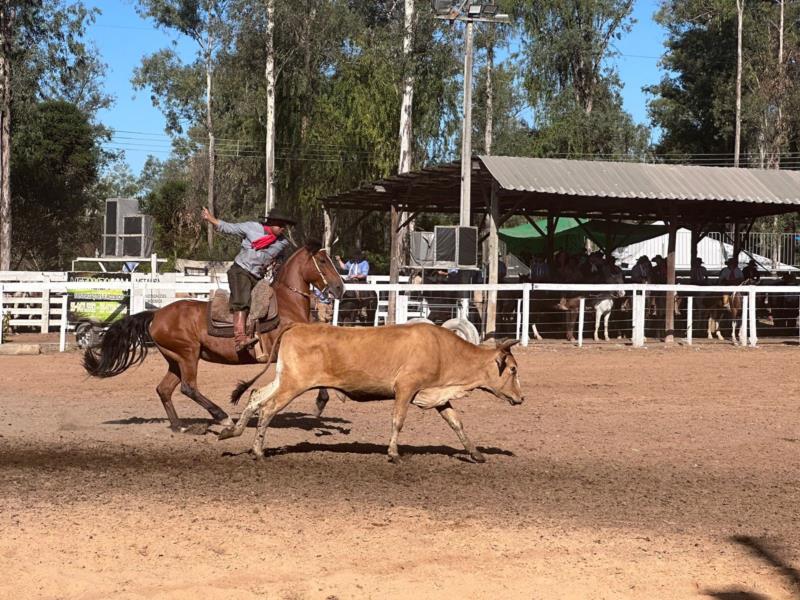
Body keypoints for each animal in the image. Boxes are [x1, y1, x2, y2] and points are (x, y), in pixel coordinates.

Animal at [84, 240, 344, 432]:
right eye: (322, 260)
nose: (340, 288)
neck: (286, 305)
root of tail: (156, 314)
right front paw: (320, 403)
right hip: (188, 355)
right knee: (188, 388)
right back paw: (221, 416)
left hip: (175, 360)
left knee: (164, 389)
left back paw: (179, 426)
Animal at [219, 324, 520, 460]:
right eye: (514, 369)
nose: (521, 398)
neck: (441, 349)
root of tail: (298, 325)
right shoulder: (405, 388)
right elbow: (398, 421)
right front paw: (394, 453)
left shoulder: (438, 397)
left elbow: (457, 423)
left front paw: (476, 454)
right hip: (293, 384)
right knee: (268, 408)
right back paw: (258, 450)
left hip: (284, 379)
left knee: (256, 396)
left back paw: (232, 431)